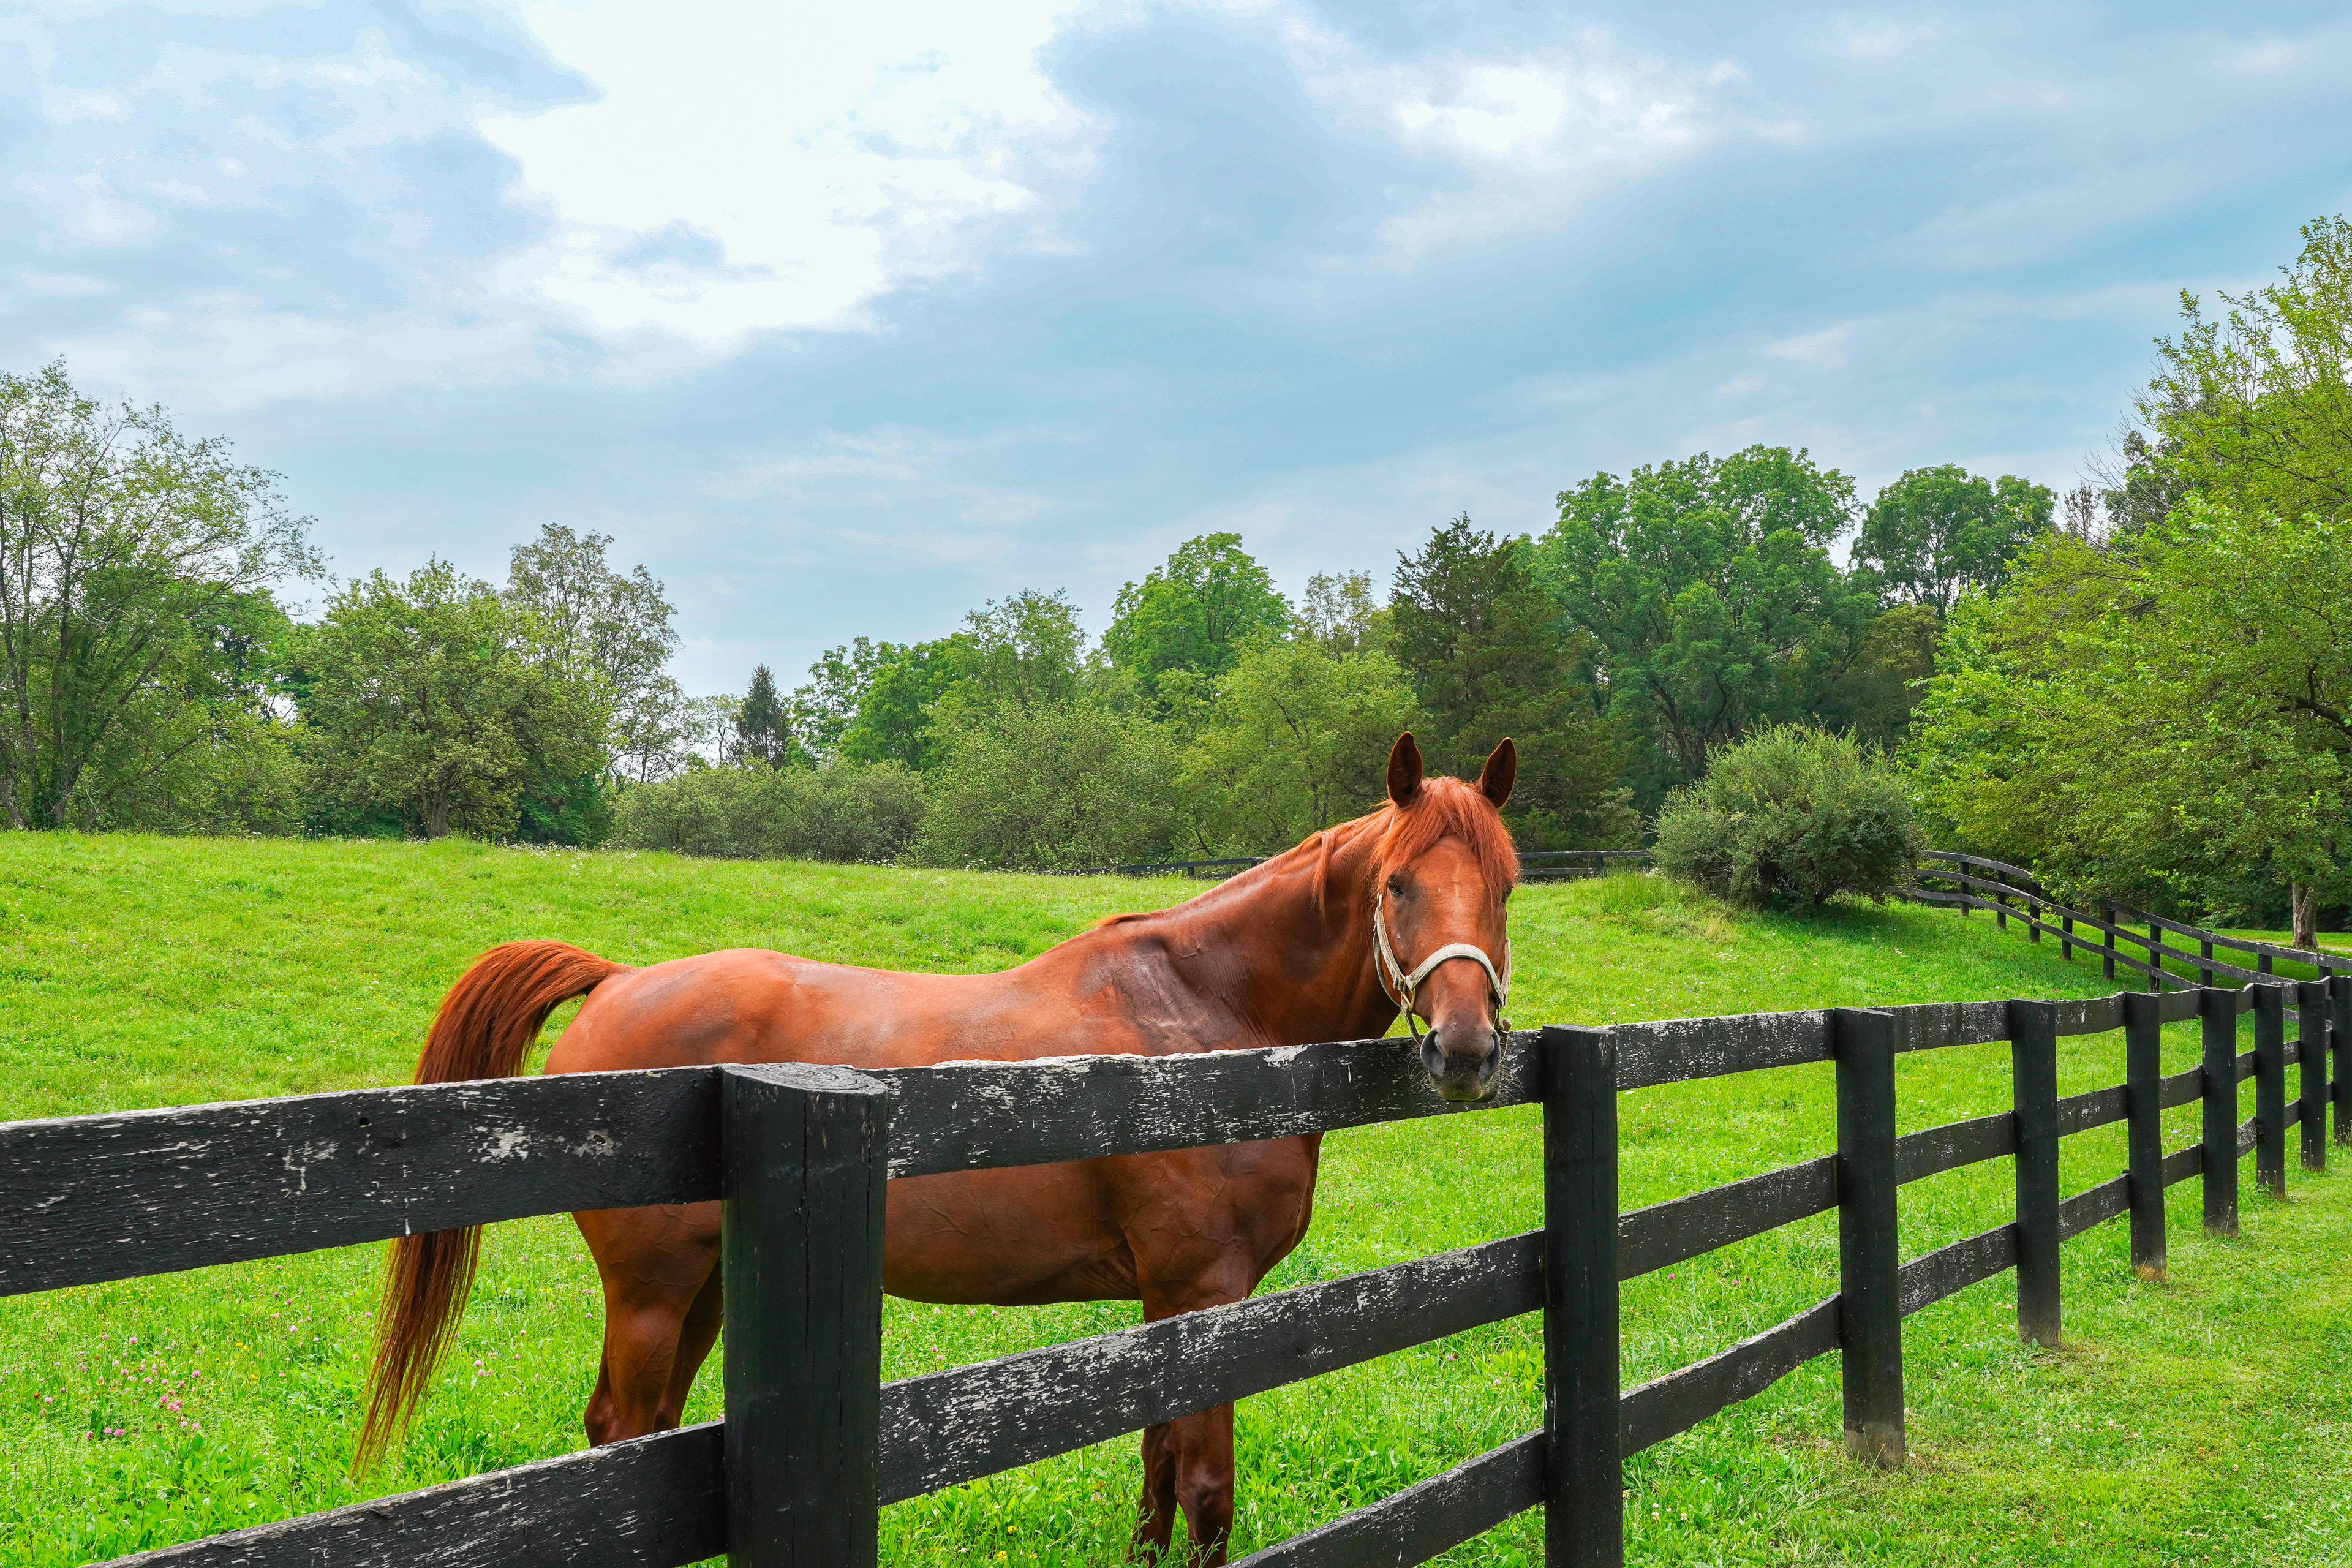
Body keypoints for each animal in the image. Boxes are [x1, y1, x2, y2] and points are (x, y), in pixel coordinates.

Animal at [357, 738, 1514, 1568]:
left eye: (1505, 885)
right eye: (1399, 884)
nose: (1466, 1050)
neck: (1203, 1019)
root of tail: (621, 979)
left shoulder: (1166, 1310)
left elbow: (1153, 1479)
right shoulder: (1205, 1295)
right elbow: (1204, 1495)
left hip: (708, 1291)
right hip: (652, 1292)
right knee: (626, 1436)